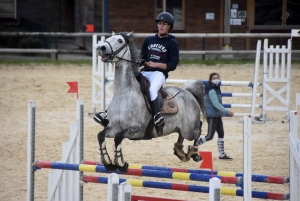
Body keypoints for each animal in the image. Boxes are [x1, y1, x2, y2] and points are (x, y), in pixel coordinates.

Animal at [96, 31, 206, 173]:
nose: (101, 48)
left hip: (190, 130)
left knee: (199, 127)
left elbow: (118, 137)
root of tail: (187, 92)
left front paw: (120, 163)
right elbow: (101, 136)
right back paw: (180, 151)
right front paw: (107, 162)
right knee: (181, 134)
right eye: (109, 38)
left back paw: (194, 153)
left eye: (120, 40)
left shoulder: (137, 130)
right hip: (180, 128)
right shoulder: (113, 128)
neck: (123, 94)